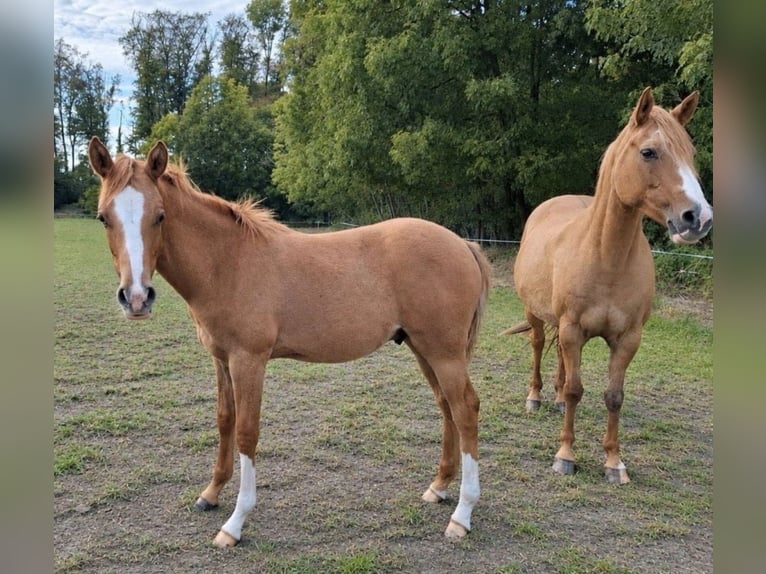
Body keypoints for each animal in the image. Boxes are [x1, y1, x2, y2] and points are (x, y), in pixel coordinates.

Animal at [87, 136, 492, 546]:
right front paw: (211, 494)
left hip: (444, 353)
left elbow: (246, 431)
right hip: (423, 348)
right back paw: (438, 488)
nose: (137, 298)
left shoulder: (248, 360)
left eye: (160, 215)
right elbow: (224, 420)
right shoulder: (221, 359)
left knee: (465, 409)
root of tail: (463, 244)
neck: (227, 263)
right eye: (104, 217)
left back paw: (462, 515)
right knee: (446, 407)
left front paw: (235, 523)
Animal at [506, 87, 712, 484]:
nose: (699, 218)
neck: (607, 258)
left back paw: (555, 400)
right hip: (536, 315)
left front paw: (614, 463)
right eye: (648, 152)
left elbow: (613, 396)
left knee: (559, 359)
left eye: (691, 154)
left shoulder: (627, 338)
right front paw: (565, 455)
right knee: (539, 347)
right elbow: (576, 390)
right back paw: (536, 398)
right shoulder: (572, 328)